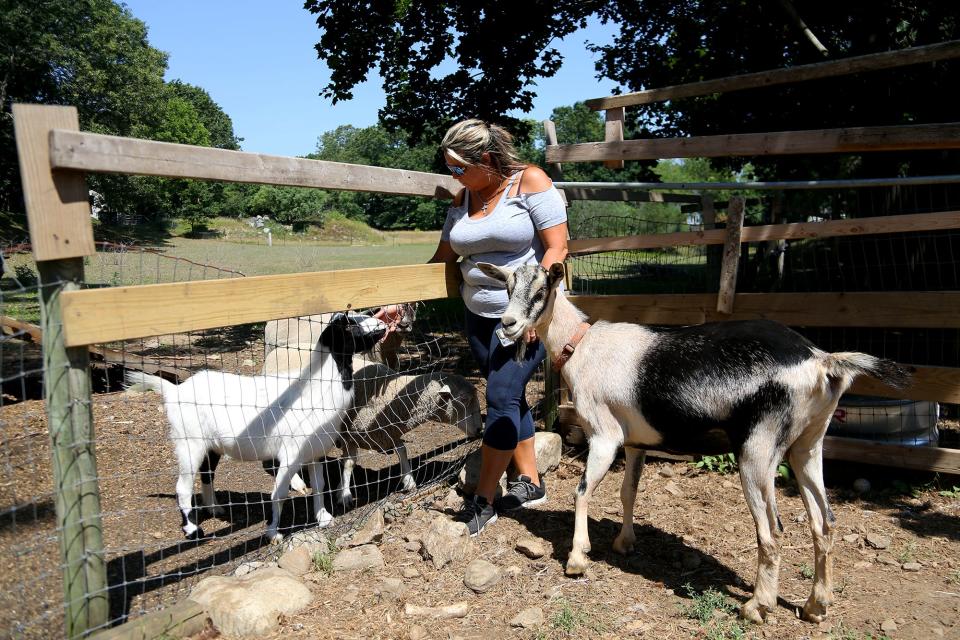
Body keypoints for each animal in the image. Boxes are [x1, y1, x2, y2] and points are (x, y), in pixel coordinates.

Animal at [125, 312, 388, 544]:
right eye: (349, 324)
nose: (383, 324)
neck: (316, 387)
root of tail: (174, 391)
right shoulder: (291, 452)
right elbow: (279, 493)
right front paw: (273, 533)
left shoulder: (314, 450)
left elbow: (320, 486)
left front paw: (324, 518)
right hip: (188, 441)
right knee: (182, 486)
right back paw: (192, 530)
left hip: (211, 445)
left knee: (207, 473)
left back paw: (215, 508)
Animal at [480, 262, 908, 628]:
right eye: (507, 286)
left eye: (541, 290)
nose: (508, 324)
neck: (581, 345)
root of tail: (822, 360)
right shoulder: (636, 441)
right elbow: (627, 492)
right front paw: (624, 542)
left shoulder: (605, 435)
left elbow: (582, 491)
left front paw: (577, 558)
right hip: (809, 443)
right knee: (825, 521)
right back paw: (816, 606)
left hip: (758, 449)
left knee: (773, 530)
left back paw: (758, 607)